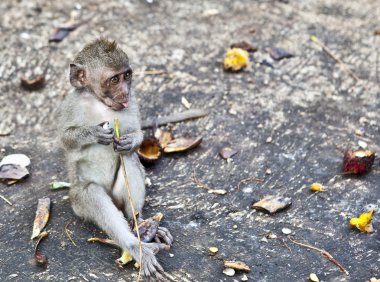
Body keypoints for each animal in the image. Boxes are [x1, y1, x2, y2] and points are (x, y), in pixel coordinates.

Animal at [58, 38, 174, 280]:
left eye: (126, 76)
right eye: (113, 79)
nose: (124, 92)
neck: (99, 102)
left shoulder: (134, 100)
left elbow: (135, 134)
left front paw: (131, 141)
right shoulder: (70, 104)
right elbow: (66, 139)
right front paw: (92, 133)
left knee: (128, 160)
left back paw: (142, 225)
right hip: (78, 202)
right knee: (91, 192)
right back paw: (136, 247)